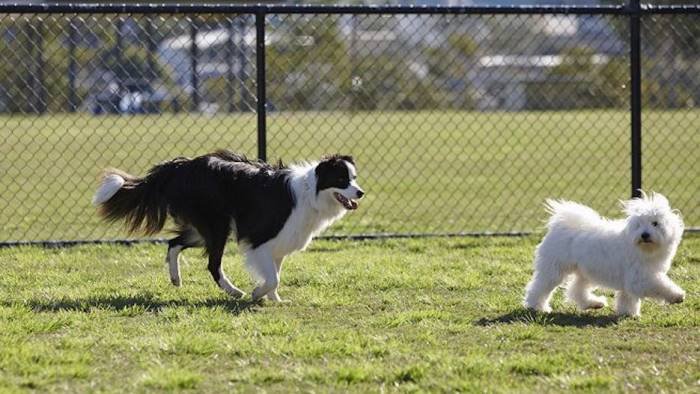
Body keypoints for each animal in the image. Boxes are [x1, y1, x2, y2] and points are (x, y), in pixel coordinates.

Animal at [524, 192, 684, 318]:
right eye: (638, 225)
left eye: (655, 223)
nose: (644, 235)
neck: (644, 249)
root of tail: (561, 226)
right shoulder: (640, 278)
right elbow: (660, 285)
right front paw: (677, 296)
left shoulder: (631, 278)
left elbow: (627, 297)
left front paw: (628, 313)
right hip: (555, 269)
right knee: (539, 287)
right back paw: (537, 306)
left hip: (586, 272)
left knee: (576, 290)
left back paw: (594, 303)